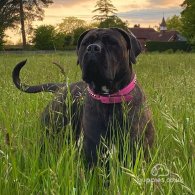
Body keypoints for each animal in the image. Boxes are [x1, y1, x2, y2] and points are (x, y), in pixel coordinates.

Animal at [12, 27, 155, 167]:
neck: (109, 97)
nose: (93, 48)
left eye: (112, 42)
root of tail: (61, 87)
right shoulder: (92, 155)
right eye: (85, 43)